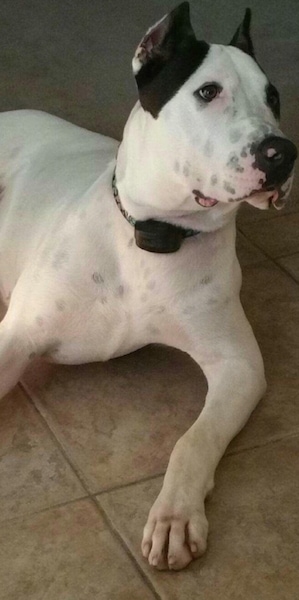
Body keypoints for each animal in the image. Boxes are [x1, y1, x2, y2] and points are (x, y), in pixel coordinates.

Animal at [0, 1, 296, 572]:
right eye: (207, 91)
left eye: (273, 96)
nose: (283, 153)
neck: (151, 237)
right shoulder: (17, 337)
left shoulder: (239, 366)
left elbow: (193, 440)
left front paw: (176, 516)